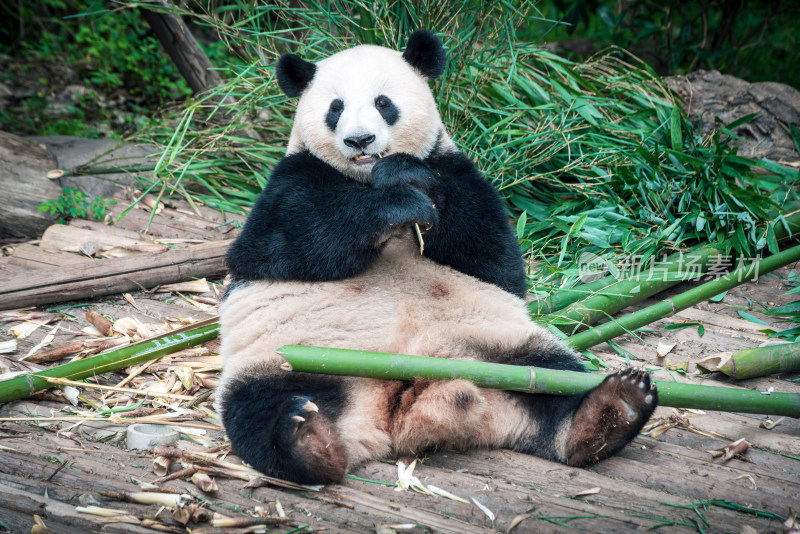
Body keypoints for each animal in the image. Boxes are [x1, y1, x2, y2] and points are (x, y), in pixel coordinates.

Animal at [219, 31, 656, 488]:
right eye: (335, 107)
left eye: (383, 102)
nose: (360, 141)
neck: (364, 179)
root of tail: (396, 404)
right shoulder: (291, 179)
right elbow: (282, 243)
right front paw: (396, 204)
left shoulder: (455, 167)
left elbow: (492, 255)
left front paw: (405, 176)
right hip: (292, 359)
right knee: (259, 406)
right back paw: (305, 437)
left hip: (502, 348)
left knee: (554, 381)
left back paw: (610, 410)